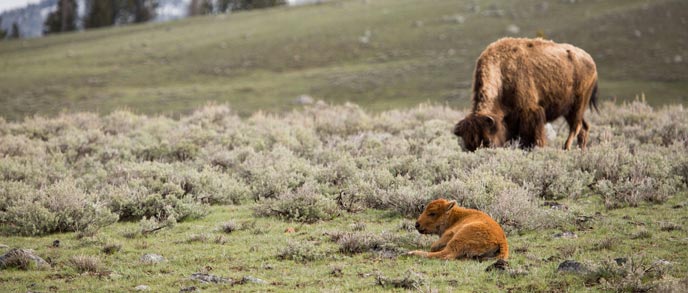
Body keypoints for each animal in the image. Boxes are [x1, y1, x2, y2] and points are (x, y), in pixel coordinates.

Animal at [452, 37, 596, 149]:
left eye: (487, 141)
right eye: (466, 145)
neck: (501, 72)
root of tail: (590, 59)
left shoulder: (530, 112)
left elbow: (533, 136)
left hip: (577, 104)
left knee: (576, 126)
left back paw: (566, 148)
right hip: (569, 110)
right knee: (584, 127)